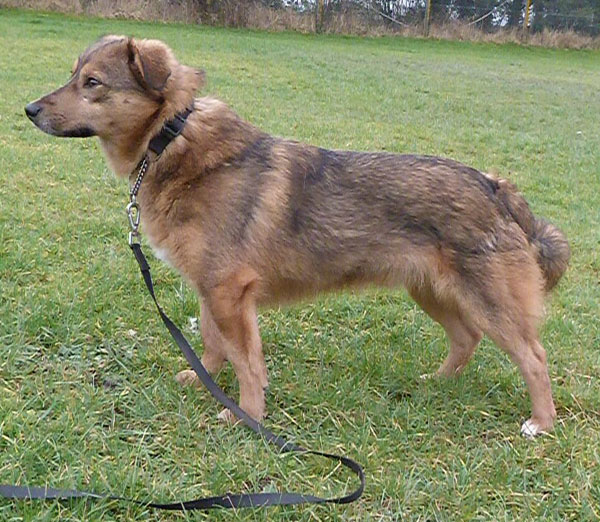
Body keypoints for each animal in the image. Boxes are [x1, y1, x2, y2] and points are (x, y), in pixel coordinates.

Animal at [23, 35, 568, 434]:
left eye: (92, 82)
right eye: (73, 75)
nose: (29, 109)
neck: (172, 137)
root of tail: (495, 186)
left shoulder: (229, 292)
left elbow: (247, 363)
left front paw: (246, 414)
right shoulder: (211, 289)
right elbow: (213, 344)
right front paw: (203, 380)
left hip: (489, 302)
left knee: (534, 358)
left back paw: (541, 423)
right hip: (432, 291)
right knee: (465, 339)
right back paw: (436, 382)